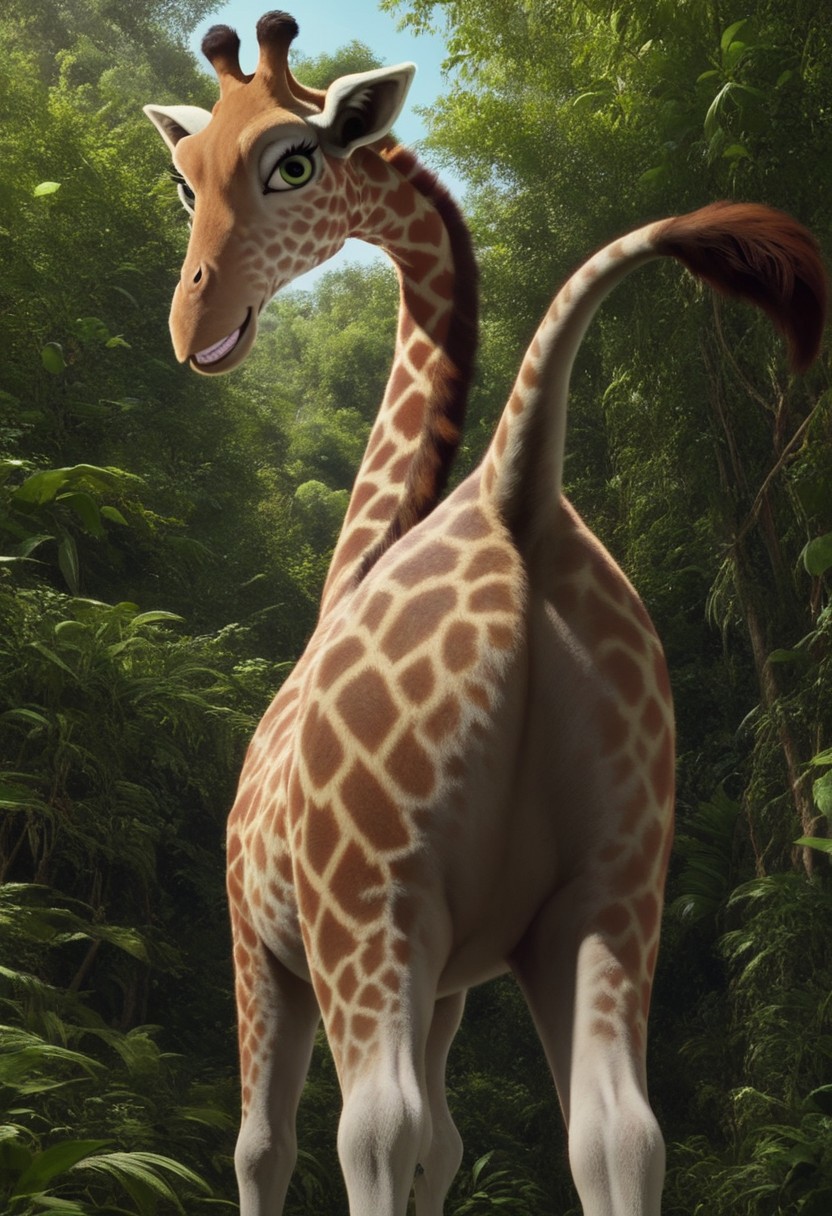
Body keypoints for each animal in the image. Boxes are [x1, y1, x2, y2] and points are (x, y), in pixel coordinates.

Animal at [144, 12, 827, 1216]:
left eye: (293, 161)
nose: (196, 324)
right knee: (616, 1130)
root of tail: (522, 495)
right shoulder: (460, 968)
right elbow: (452, 1145)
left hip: (370, 900)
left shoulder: (262, 936)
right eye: (184, 182)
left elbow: (267, 1144)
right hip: (610, 886)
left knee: (373, 1125)